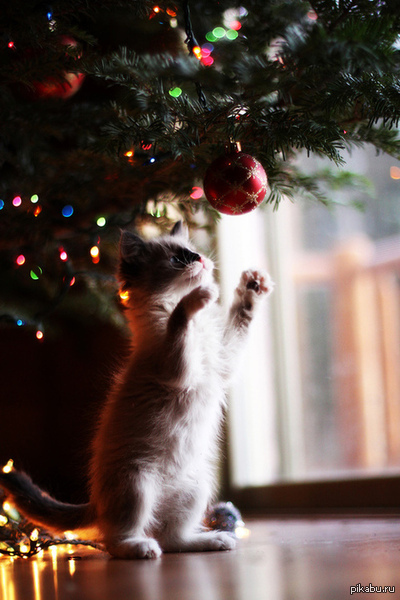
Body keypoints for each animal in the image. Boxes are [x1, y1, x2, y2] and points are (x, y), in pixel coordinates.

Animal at [0, 223, 272, 560]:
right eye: (178, 260)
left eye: (193, 251)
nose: (200, 260)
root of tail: (96, 503)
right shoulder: (176, 370)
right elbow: (179, 321)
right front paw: (197, 298)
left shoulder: (223, 364)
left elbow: (239, 319)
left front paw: (252, 287)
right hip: (137, 484)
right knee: (118, 539)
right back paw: (141, 548)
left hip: (195, 488)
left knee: (172, 538)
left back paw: (210, 540)